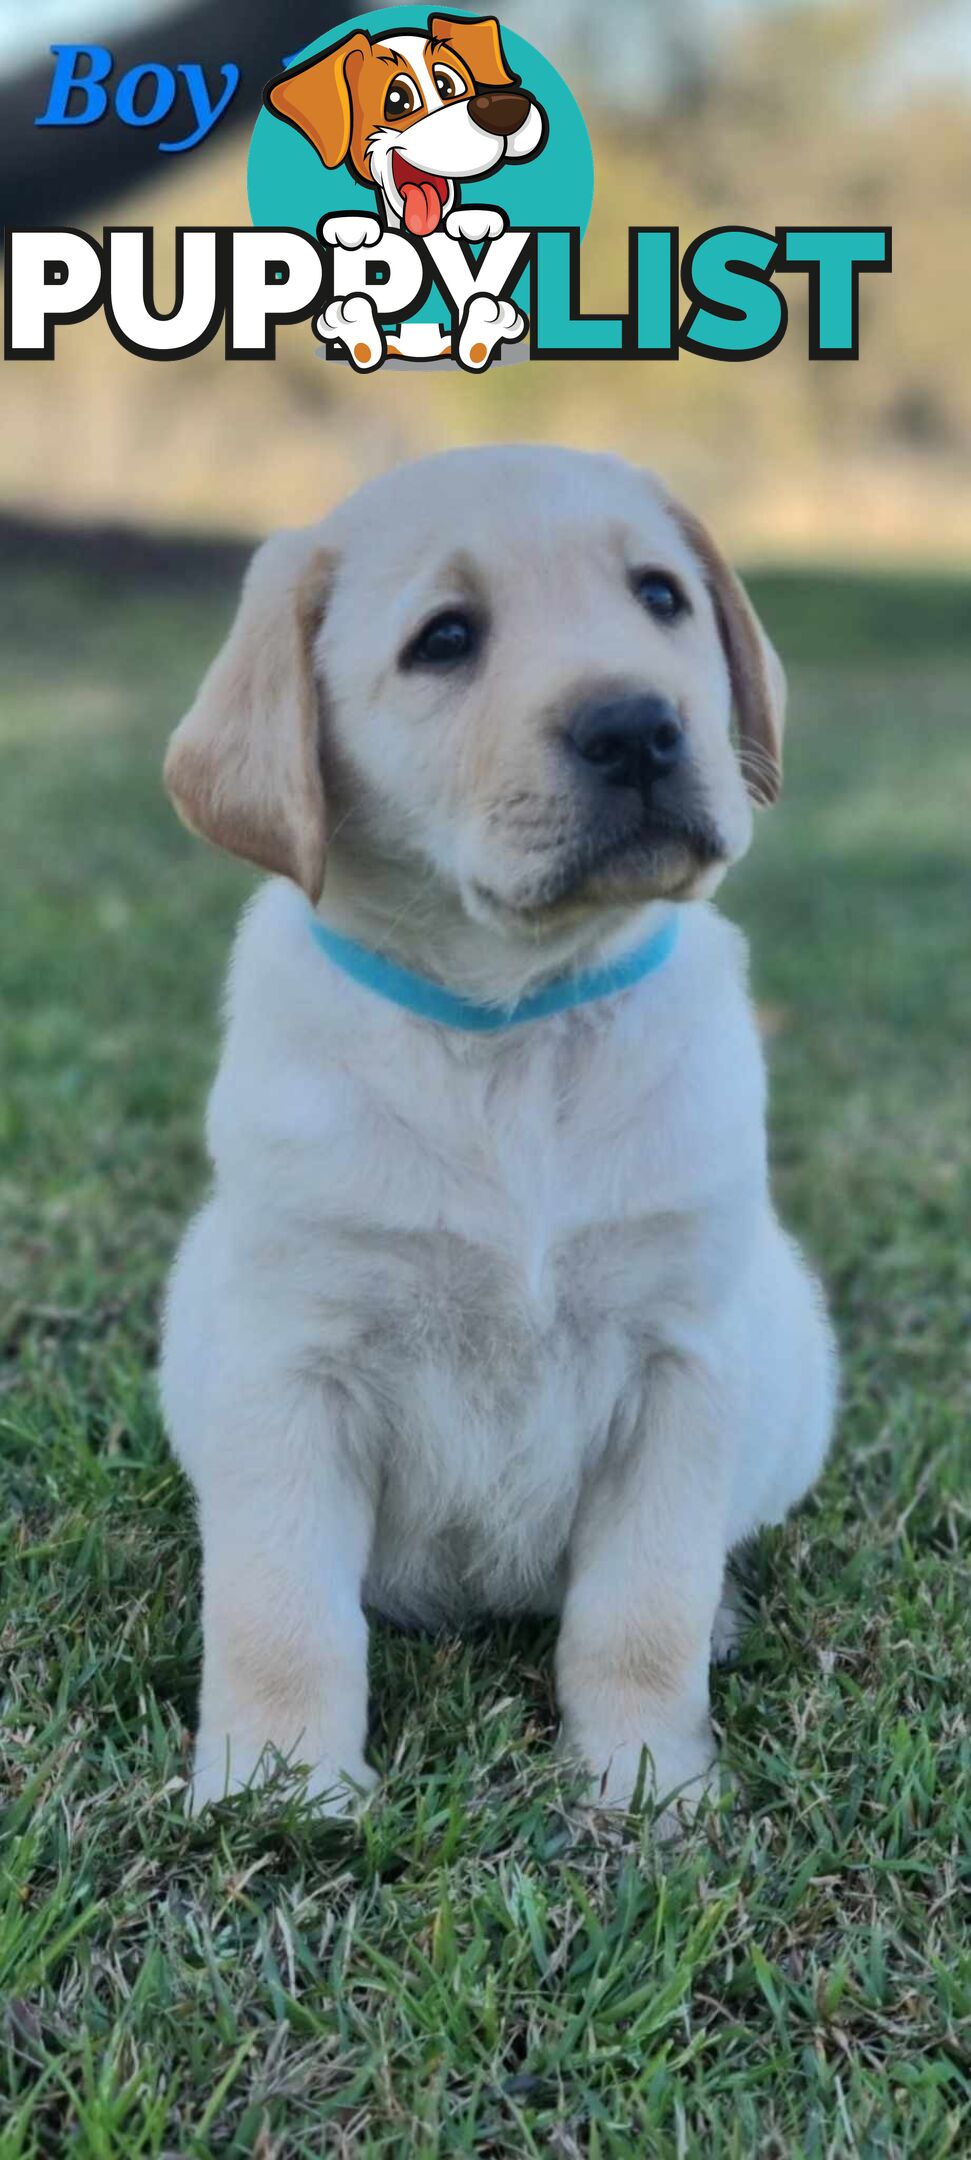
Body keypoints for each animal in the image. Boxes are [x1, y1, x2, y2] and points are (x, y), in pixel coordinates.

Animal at [159, 447, 832, 1831]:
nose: (635, 726)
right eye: (445, 639)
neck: (508, 1029)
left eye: (659, 596)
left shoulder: (680, 1364)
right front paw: (279, 1793)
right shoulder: (286, 1366)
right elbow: (278, 1609)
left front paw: (645, 1784)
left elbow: (641, 1606)